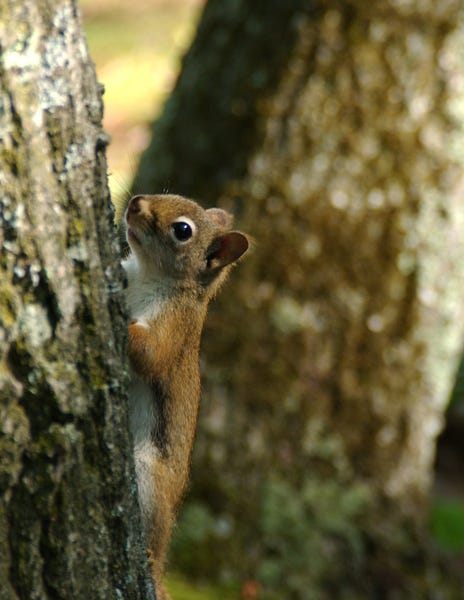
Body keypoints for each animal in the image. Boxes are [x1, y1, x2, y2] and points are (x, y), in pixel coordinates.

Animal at [121, 195, 248, 596]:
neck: (147, 275)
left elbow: (150, 355)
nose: (135, 202)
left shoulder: (175, 325)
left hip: (148, 474)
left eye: (182, 230)